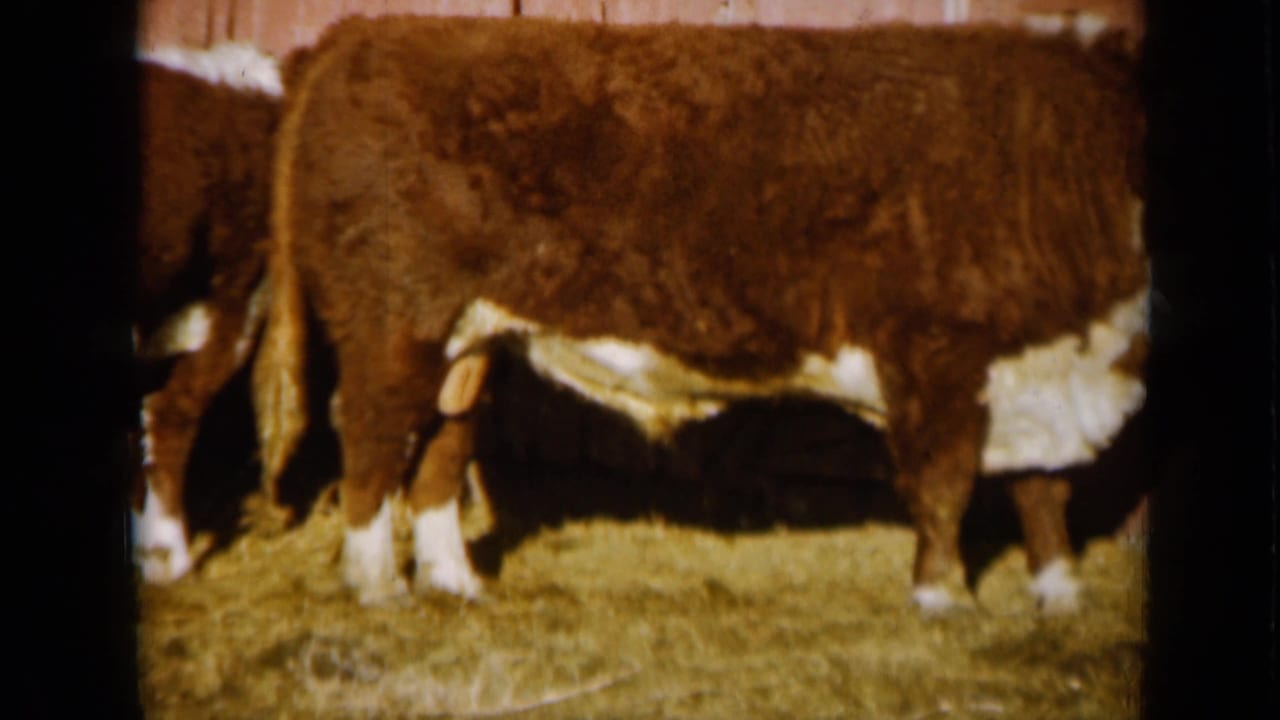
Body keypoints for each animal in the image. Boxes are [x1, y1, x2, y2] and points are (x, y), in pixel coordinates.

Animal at [253, 15, 1147, 612]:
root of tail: (363, 34)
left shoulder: (1030, 372)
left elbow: (1043, 491)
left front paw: (1061, 591)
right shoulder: (936, 349)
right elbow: (946, 481)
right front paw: (943, 597)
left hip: (470, 339)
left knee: (442, 444)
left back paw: (456, 582)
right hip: (392, 321)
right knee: (372, 434)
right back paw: (377, 585)